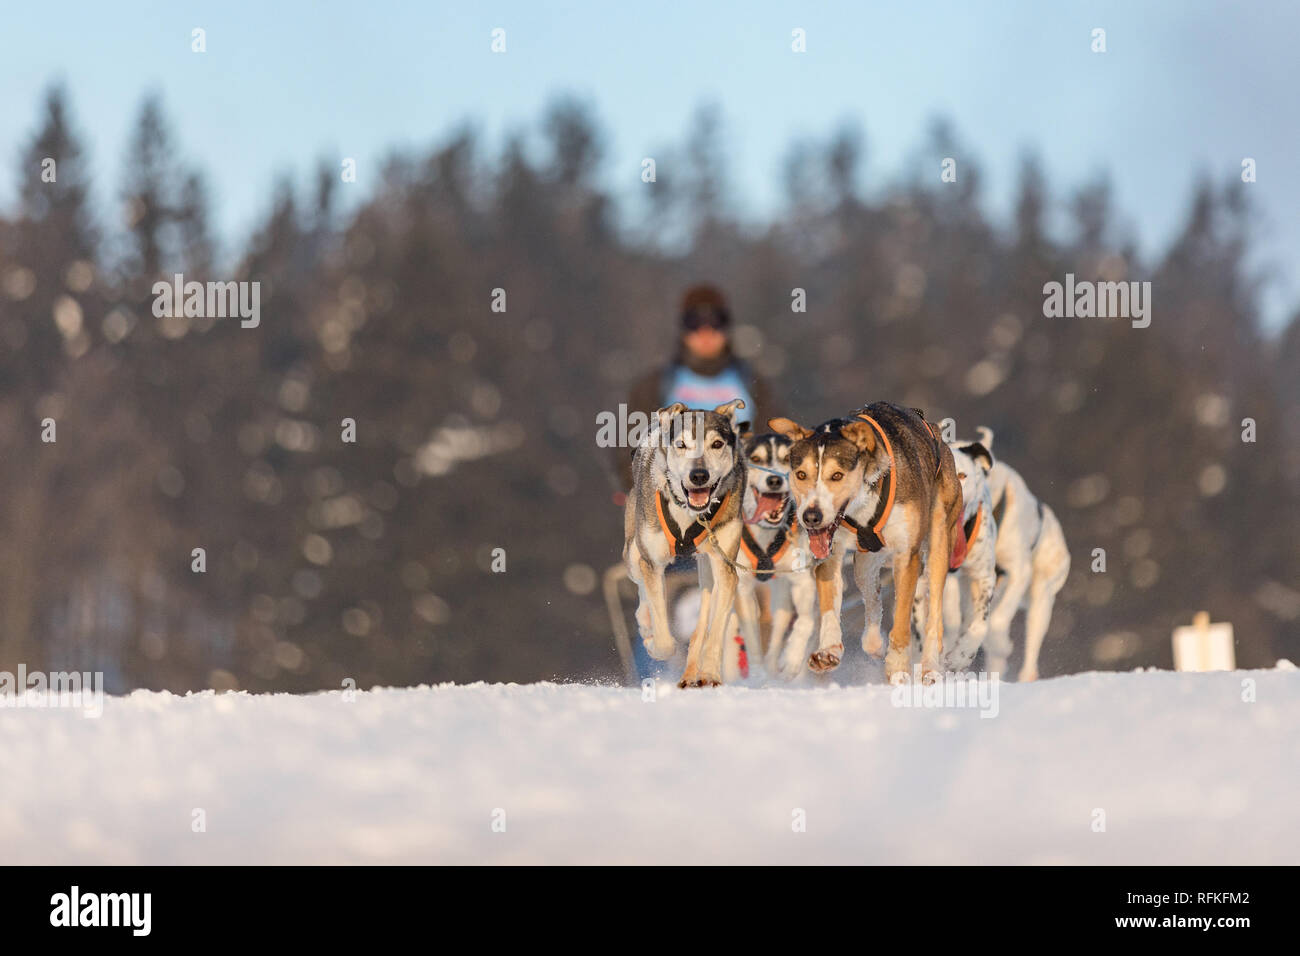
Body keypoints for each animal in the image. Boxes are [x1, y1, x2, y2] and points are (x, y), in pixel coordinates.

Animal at [624, 400, 748, 686]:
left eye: (717, 444)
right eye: (681, 445)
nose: (699, 475)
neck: (689, 514)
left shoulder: (725, 565)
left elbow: (716, 629)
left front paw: (710, 673)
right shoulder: (652, 561)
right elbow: (664, 640)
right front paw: (652, 640)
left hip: (706, 567)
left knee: (702, 622)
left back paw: (693, 671)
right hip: (633, 553)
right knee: (642, 589)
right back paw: (646, 623)